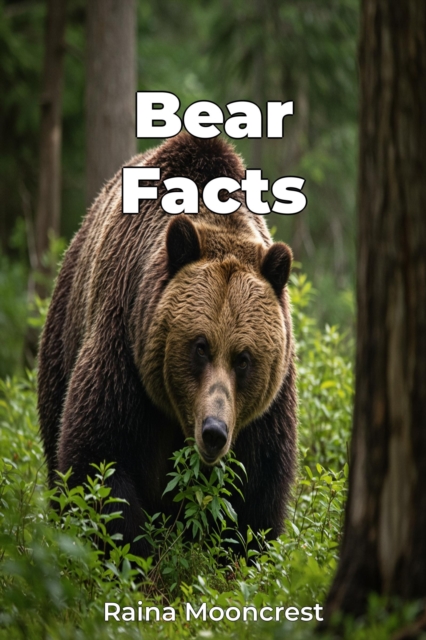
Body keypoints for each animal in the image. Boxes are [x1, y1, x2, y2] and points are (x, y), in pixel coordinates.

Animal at [37, 132, 297, 557]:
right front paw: (136, 552)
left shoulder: (266, 411)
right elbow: (100, 461)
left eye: (243, 358)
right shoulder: (124, 347)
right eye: (200, 346)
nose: (213, 431)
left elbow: (257, 496)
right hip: (64, 331)